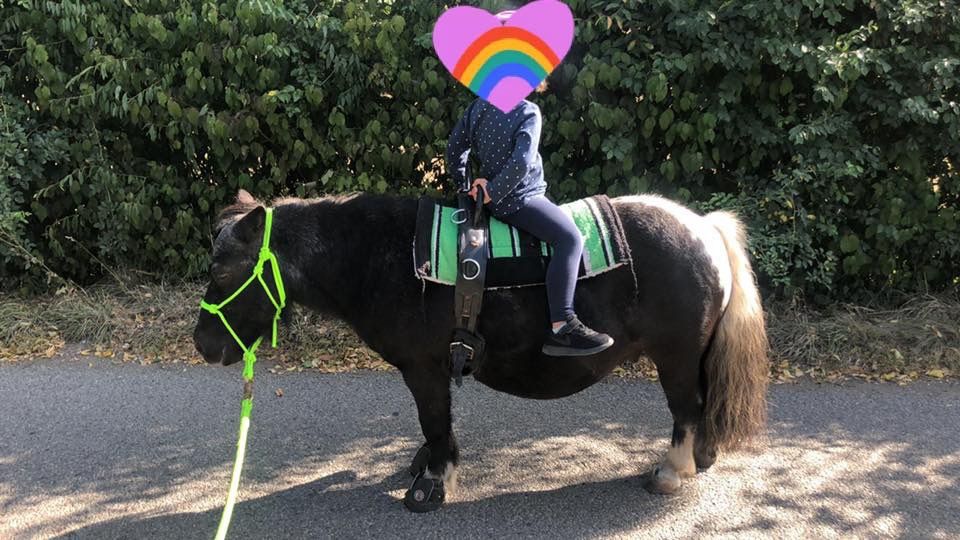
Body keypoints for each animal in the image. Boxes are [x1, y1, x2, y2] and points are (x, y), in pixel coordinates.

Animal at [191, 189, 768, 510]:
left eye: (223, 270)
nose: (203, 344)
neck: (379, 256)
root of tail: (704, 228)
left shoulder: (423, 369)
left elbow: (434, 422)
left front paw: (432, 484)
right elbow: (435, 425)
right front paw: (427, 467)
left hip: (675, 357)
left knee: (687, 408)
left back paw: (673, 470)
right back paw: (702, 458)